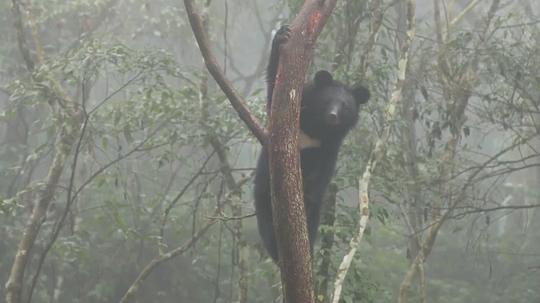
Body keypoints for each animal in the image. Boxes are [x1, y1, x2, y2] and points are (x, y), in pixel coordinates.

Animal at [255, 26, 370, 264]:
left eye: (344, 106)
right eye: (328, 102)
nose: (333, 116)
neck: (317, 128)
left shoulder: (328, 147)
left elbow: (321, 175)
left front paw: (307, 194)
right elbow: (274, 95)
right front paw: (282, 36)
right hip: (263, 190)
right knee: (265, 220)